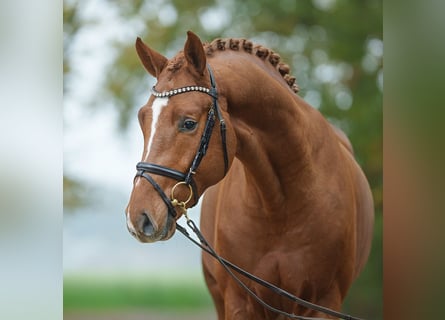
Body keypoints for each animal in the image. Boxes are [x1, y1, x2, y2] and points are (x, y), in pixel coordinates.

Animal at [125, 31, 372, 318]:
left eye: (189, 123)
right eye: (142, 119)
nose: (138, 217)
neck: (282, 206)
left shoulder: (323, 303)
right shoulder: (239, 302)